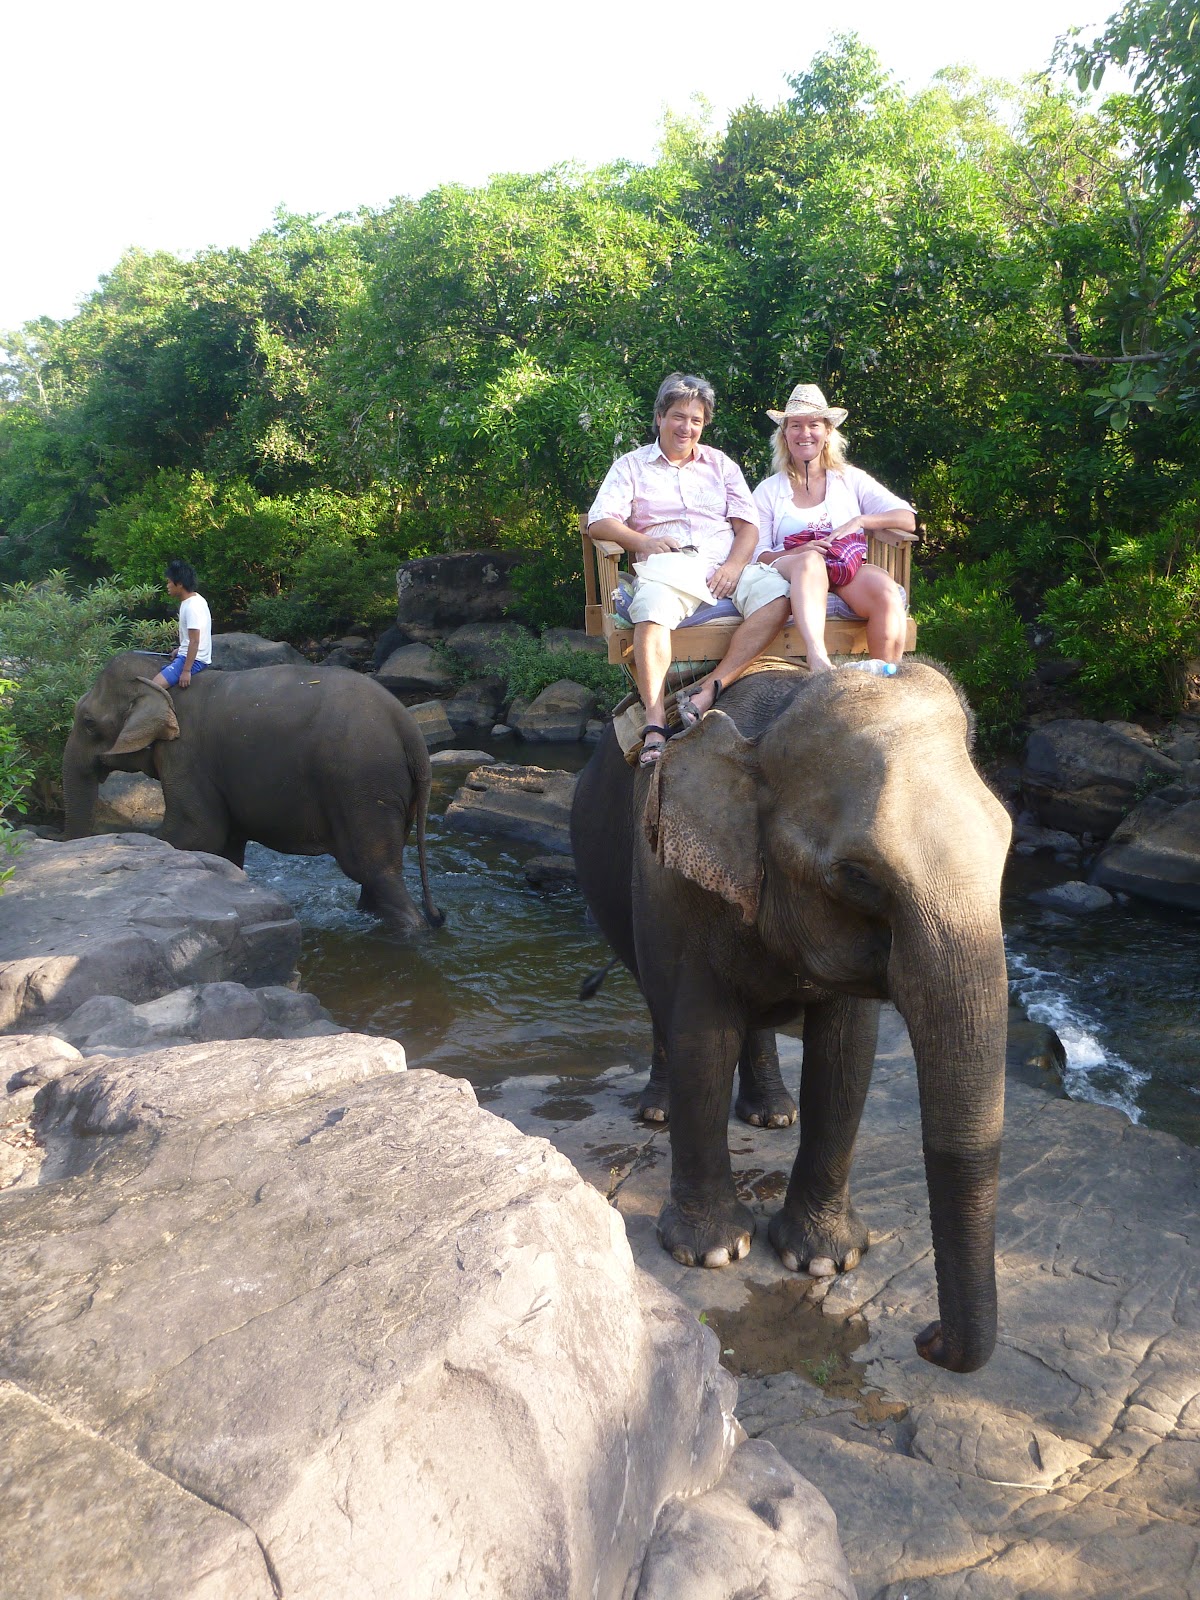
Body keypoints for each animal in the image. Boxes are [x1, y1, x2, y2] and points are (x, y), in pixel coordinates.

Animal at [63, 652, 443, 932]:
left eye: (88, 723)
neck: (161, 677)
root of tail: (409, 728)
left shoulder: (185, 757)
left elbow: (197, 832)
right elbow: (226, 847)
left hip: (363, 784)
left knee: (376, 870)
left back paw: (411, 929)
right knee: (374, 875)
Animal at [570, 662, 1011, 1373]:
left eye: (1006, 848)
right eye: (858, 877)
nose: (928, 1339)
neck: (769, 727)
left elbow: (847, 1052)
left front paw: (825, 1260)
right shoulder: (675, 887)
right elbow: (702, 1036)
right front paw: (714, 1253)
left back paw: (772, 1115)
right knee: (656, 998)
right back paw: (659, 1110)